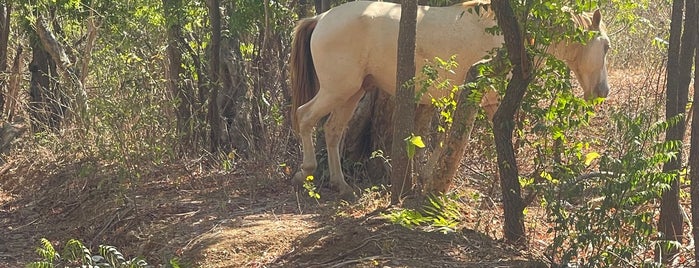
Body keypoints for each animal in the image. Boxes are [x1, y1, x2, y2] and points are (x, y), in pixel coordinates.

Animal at [290, 0, 612, 197]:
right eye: (606, 46)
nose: (603, 91)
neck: (509, 40)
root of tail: (322, 18)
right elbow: (451, 141)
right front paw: (431, 181)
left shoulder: (487, 103)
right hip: (337, 90)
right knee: (304, 117)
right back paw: (305, 172)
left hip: (352, 92)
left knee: (332, 131)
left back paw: (341, 185)